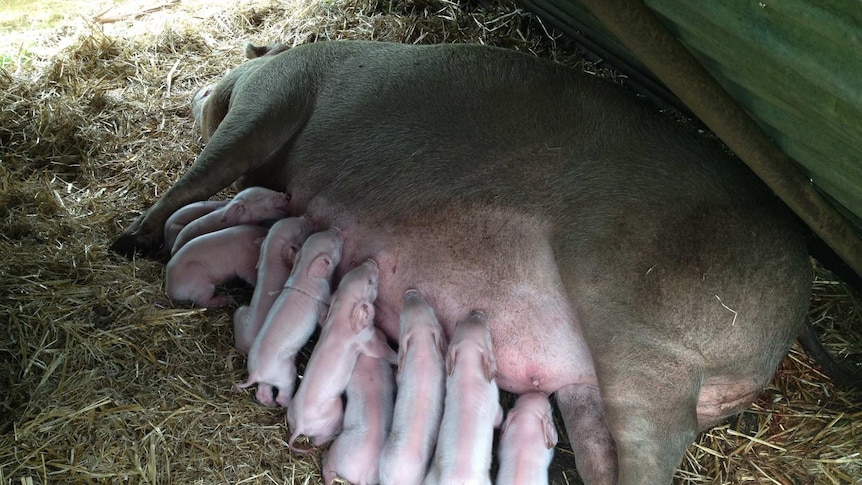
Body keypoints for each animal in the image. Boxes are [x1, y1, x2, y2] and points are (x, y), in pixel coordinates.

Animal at [113, 41, 808, 484]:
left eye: (216, 83)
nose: (200, 87)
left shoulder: (270, 99)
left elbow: (200, 173)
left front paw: (128, 241)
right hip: (597, 381)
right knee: (605, 461)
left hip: (652, 348)